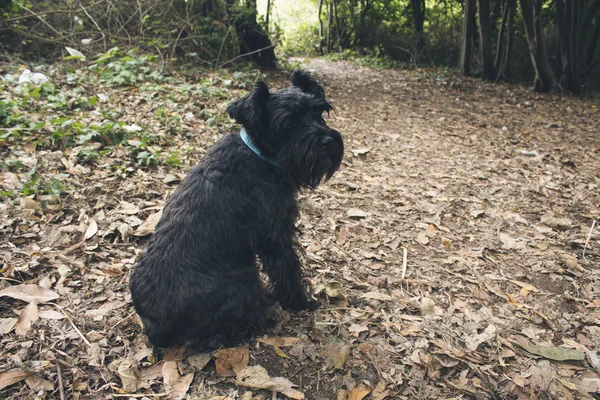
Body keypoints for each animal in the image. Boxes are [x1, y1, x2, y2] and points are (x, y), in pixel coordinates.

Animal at [130, 69, 346, 350]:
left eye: (319, 112)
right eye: (288, 123)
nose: (327, 140)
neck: (259, 155)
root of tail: (153, 327)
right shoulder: (275, 237)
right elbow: (287, 270)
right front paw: (301, 303)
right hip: (244, 283)